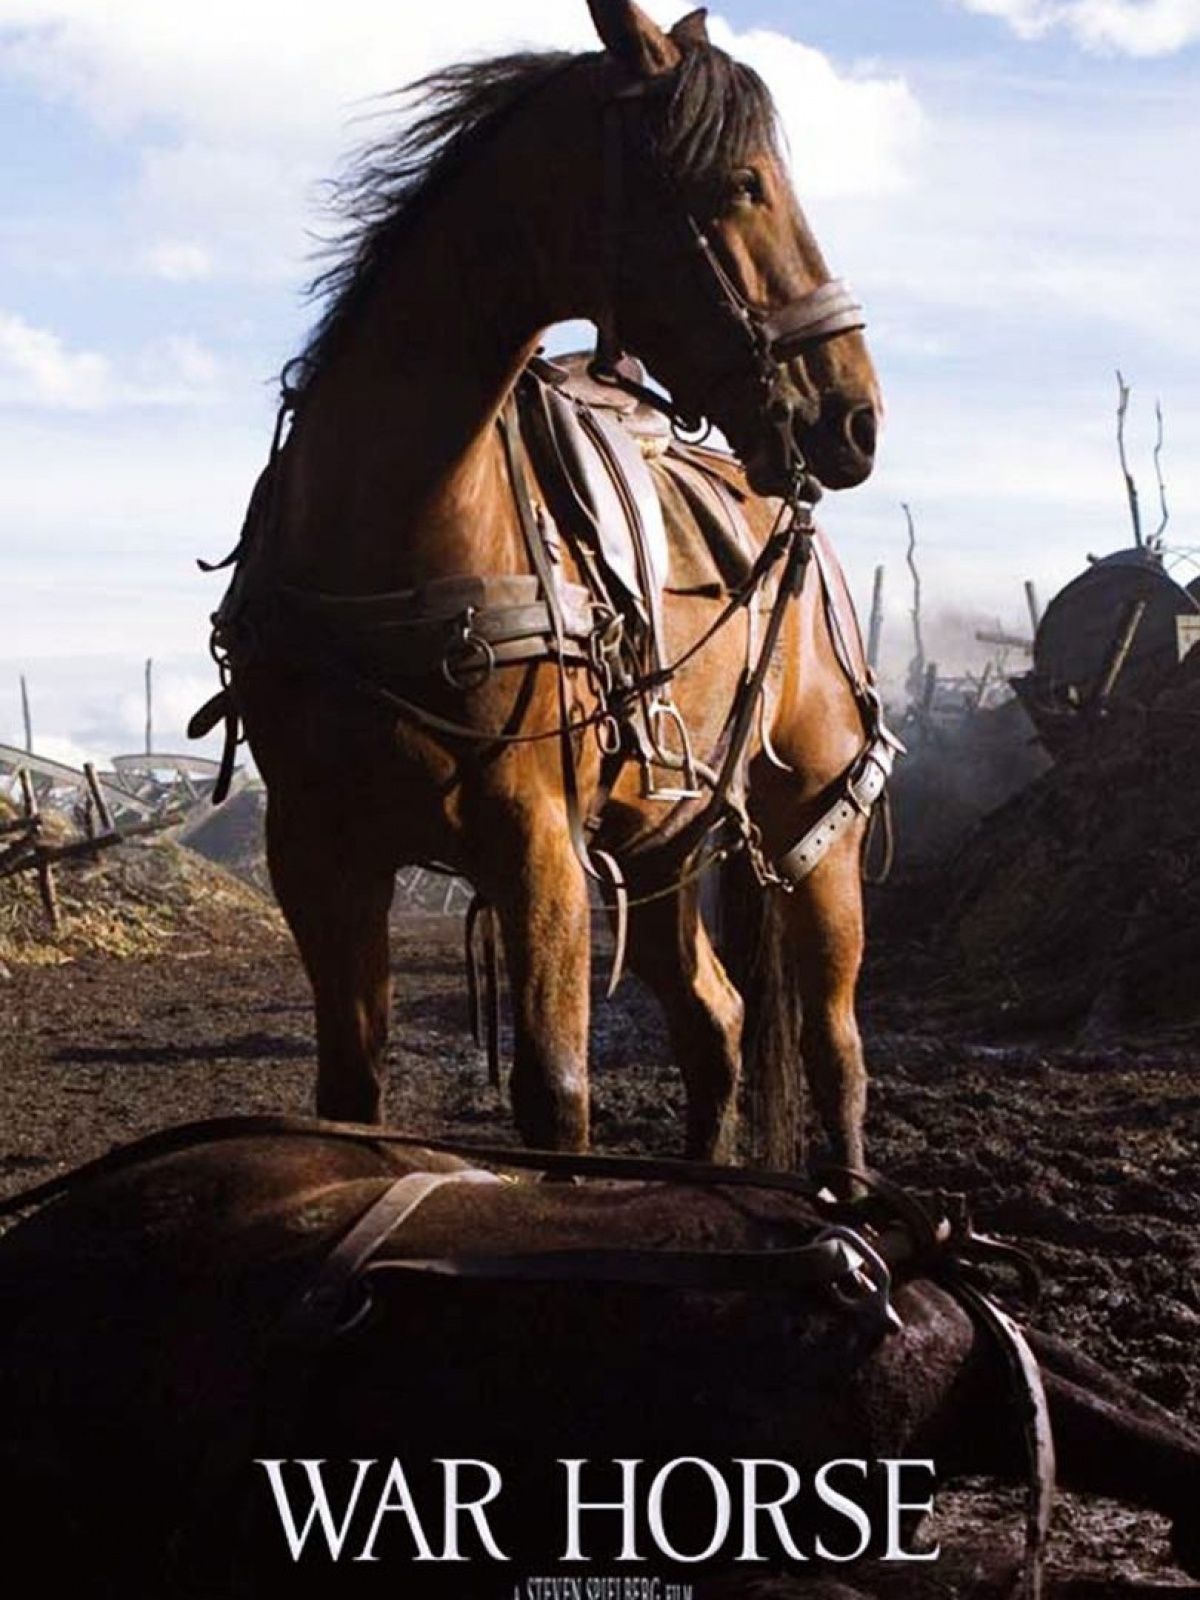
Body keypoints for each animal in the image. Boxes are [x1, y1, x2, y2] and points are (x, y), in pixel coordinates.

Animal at [194, 0, 887, 1172]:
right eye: (741, 183)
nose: (855, 415)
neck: (388, 533)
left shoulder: (538, 842)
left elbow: (555, 1096)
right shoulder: (319, 851)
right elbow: (350, 1089)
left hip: (813, 829)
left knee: (835, 1050)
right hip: (663, 847)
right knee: (716, 1022)